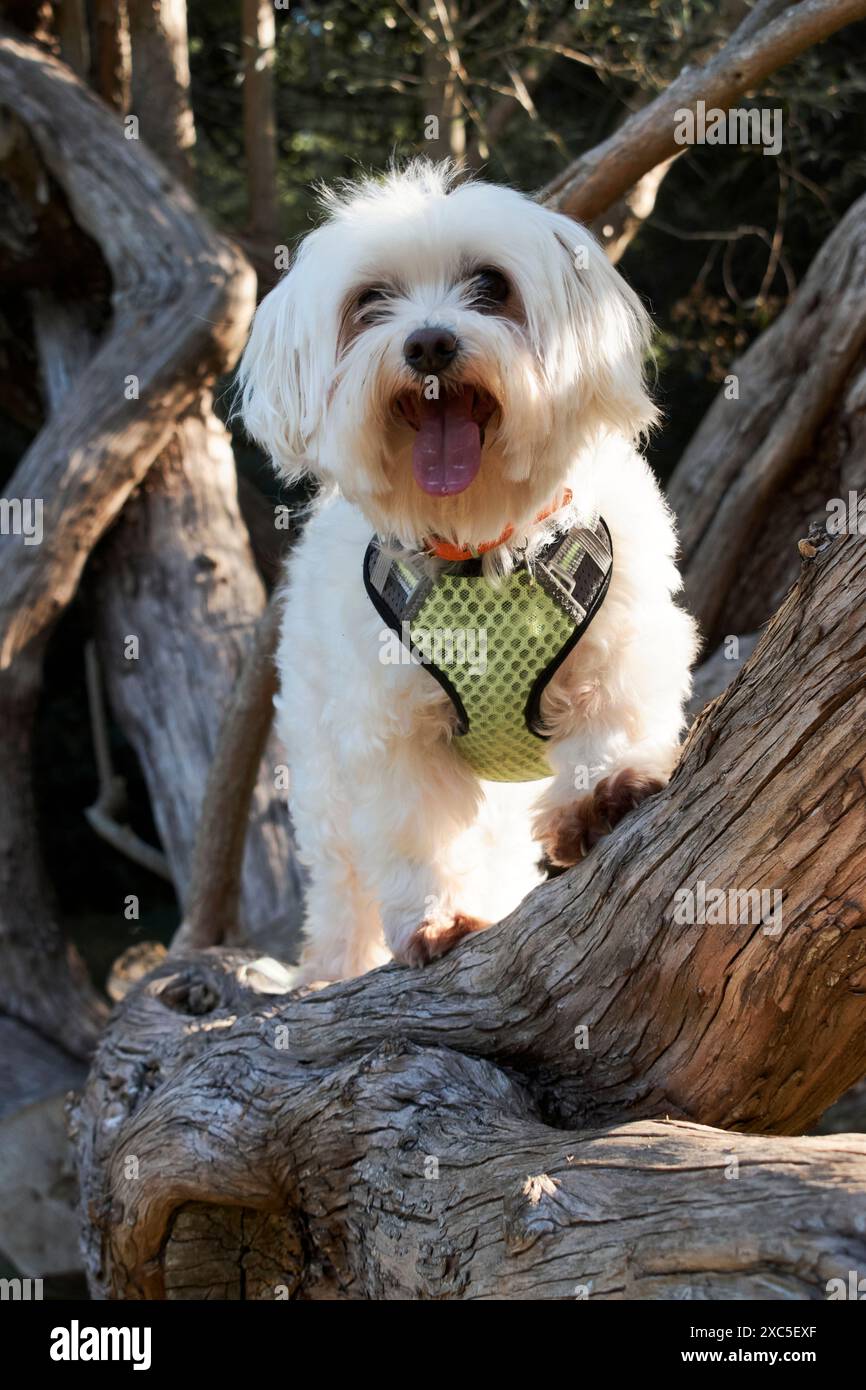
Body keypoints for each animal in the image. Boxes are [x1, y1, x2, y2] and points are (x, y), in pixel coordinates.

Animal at [240, 162, 700, 984]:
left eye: (492, 285)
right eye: (370, 300)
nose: (428, 343)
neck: (479, 544)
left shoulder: (622, 636)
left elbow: (613, 716)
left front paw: (603, 791)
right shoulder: (391, 728)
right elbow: (417, 829)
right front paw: (440, 916)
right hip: (321, 773)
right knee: (342, 885)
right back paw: (336, 964)